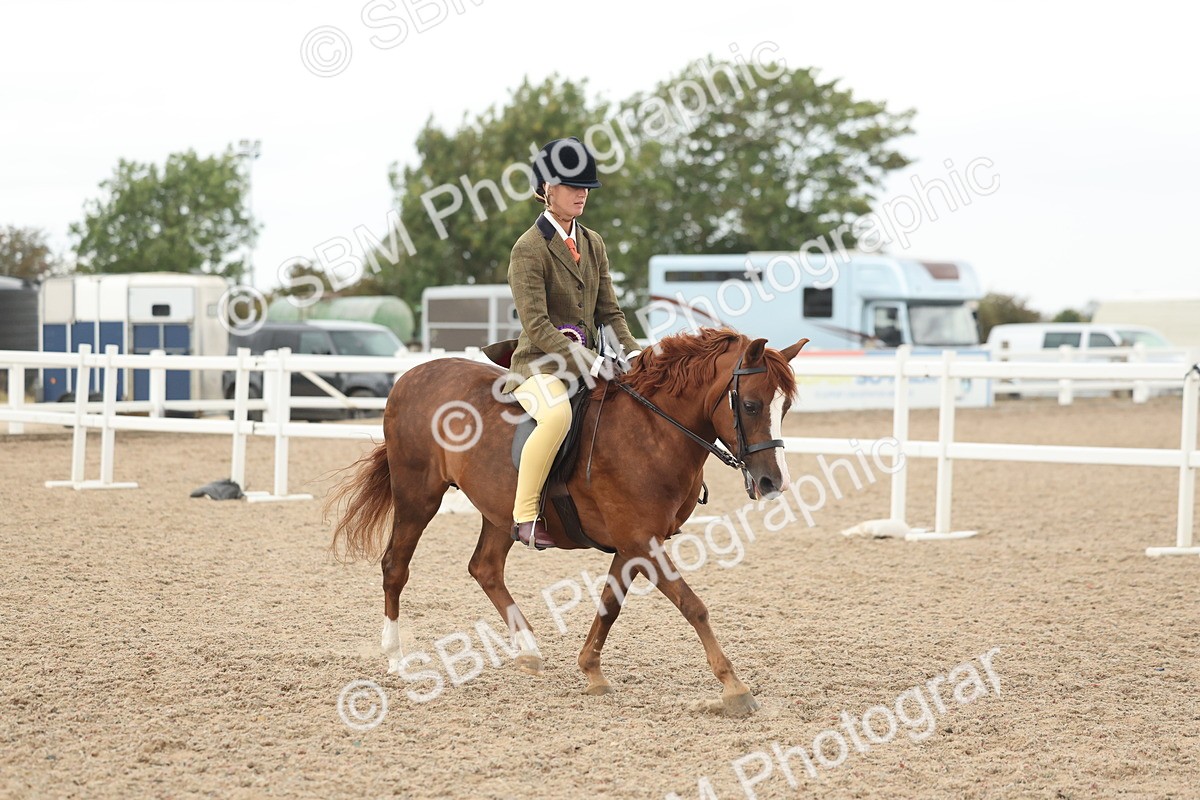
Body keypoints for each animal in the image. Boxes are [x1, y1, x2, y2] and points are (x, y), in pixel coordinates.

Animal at [327, 328, 809, 715]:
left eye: (785, 407)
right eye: (750, 404)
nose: (773, 482)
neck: (653, 431)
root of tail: (410, 376)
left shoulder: (633, 544)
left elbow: (610, 605)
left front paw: (591, 671)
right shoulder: (642, 541)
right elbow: (694, 606)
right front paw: (734, 688)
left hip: (498, 512)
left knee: (485, 568)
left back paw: (528, 649)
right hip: (417, 496)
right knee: (396, 566)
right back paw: (396, 656)